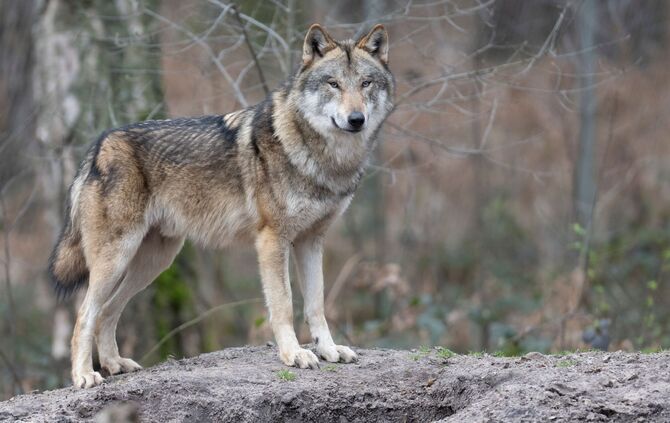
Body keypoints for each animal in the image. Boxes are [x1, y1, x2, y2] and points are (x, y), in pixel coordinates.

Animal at [49, 23, 394, 388]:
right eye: (333, 84)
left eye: (365, 83)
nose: (356, 119)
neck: (323, 158)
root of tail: (98, 145)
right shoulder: (272, 240)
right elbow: (284, 305)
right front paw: (294, 354)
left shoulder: (311, 242)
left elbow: (316, 305)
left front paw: (328, 350)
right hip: (117, 259)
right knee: (85, 314)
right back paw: (84, 375)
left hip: (153, 263)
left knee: (108, 312)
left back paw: (115, 364)